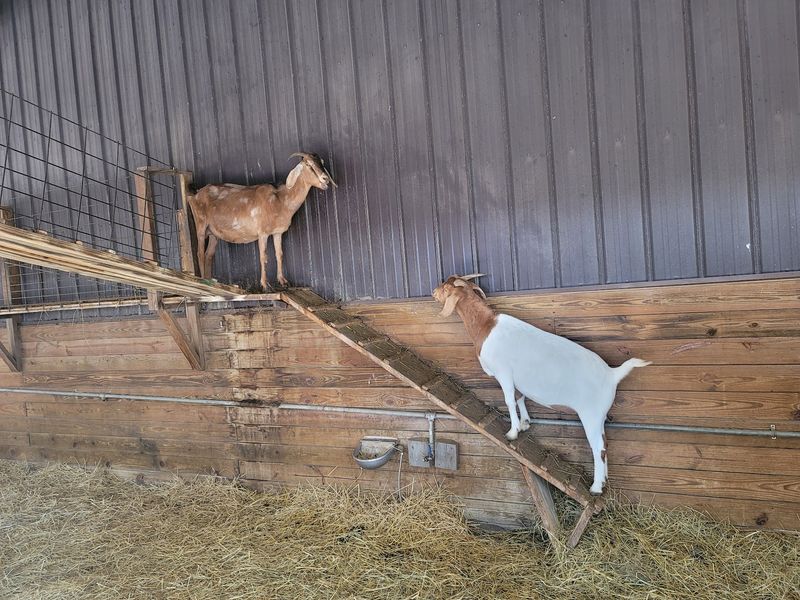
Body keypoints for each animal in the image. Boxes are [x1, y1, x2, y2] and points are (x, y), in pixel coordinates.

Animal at [187, 152, 335, 289]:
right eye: (309, 165)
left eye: (322, 162)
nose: (326, 179)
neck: (280, 200)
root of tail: (195, 194)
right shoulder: (262, 233)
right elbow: (263, 256)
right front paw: (265, 285)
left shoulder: (277, 232)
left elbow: (279, 254)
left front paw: (283, 281)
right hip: (200, 224)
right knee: (200, 253)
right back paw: (202, 280)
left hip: (213, 233)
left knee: (209, 255)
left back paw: (210, 280)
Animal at [432, 274, 650, 495]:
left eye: (446, 287)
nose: (433, 292)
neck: (486, 326)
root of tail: (613, 374)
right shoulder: (516, 379)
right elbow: (519, 397)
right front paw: (525, 423)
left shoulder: (504, 373)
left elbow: (509, 400)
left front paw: (512, 432)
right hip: (600, 416)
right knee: (605, 443)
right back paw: (604, 480)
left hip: (591, 414)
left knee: (599, 448)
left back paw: (596, 487)